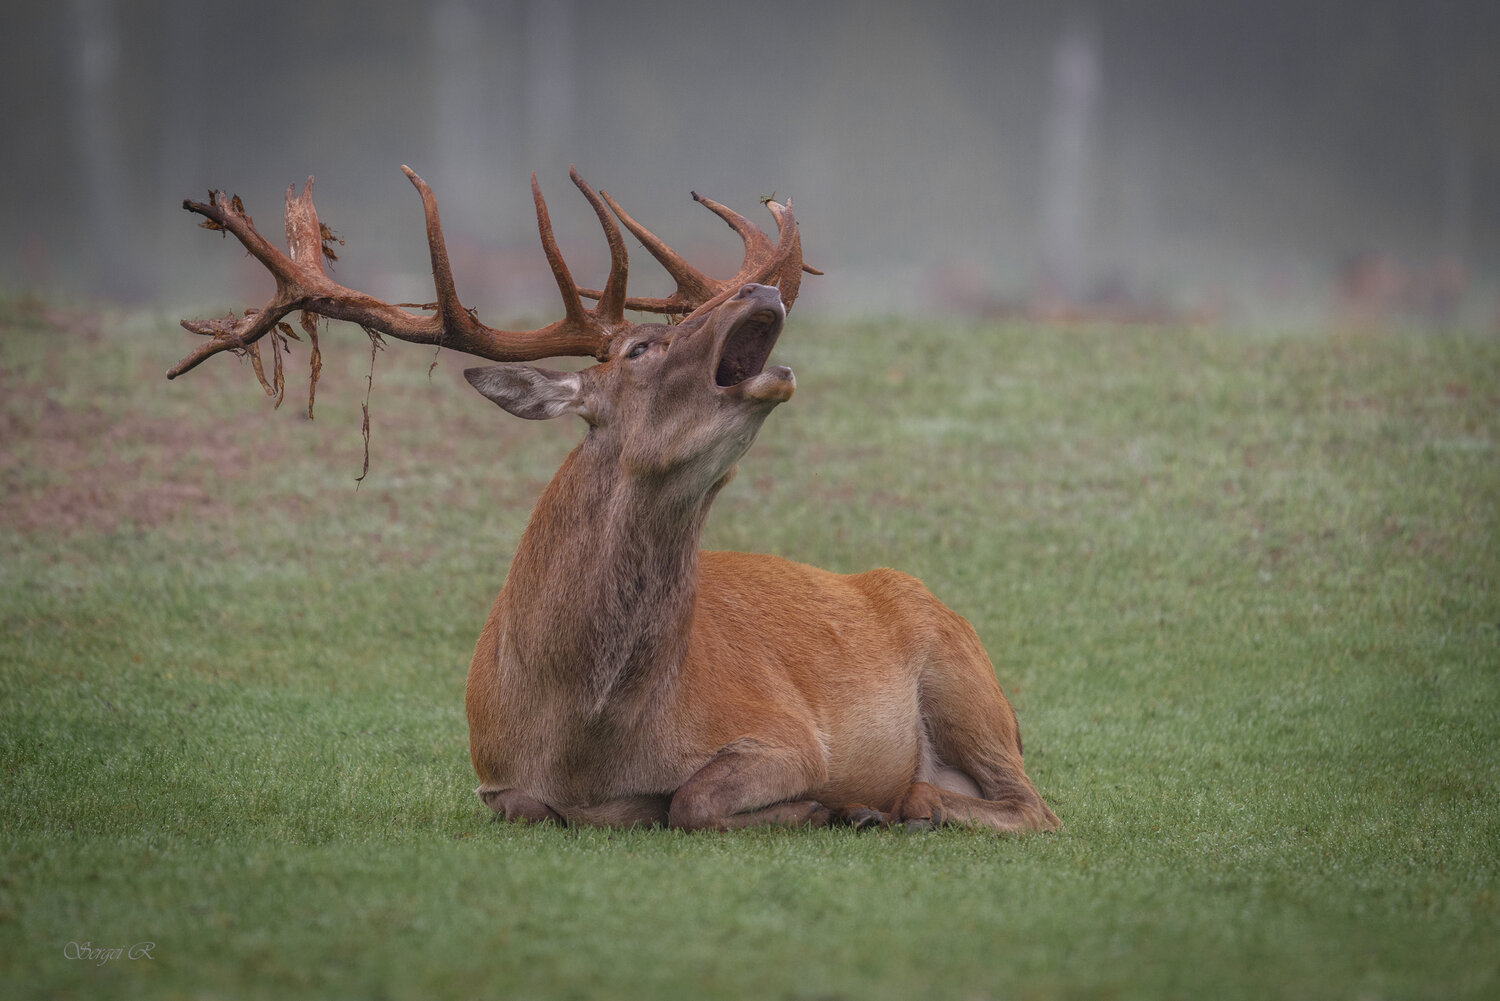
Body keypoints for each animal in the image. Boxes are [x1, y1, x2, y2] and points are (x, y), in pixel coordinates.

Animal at [172, 165, 1060, 834]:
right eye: (640, 347)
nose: (760, 297)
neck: (584, 734)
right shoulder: (493, 773)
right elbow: (533, 807)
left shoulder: (787, 733)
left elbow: (693, 800)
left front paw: (834, 807)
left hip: (964, 678)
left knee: (1035, 807)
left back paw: (902, 804)